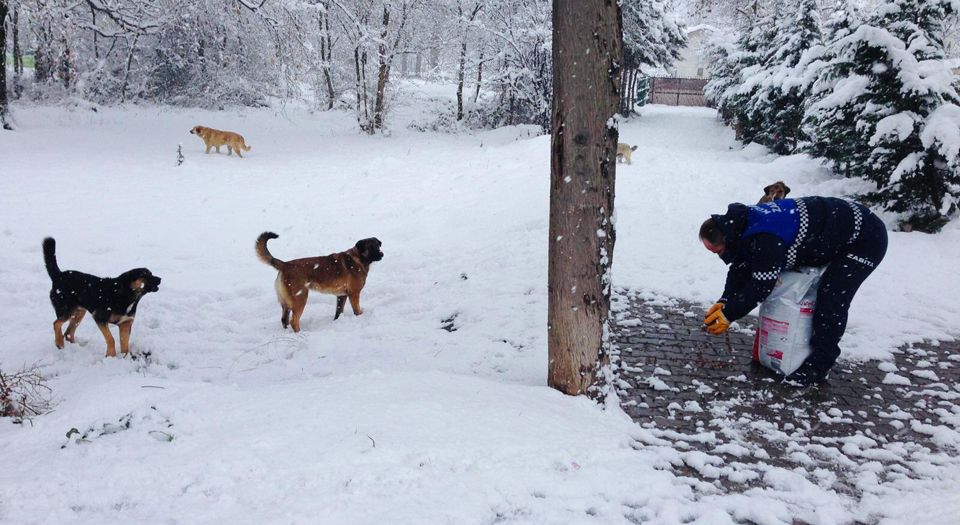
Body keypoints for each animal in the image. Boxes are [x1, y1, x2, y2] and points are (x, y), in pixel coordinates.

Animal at [258, 230, 386, 332]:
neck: (358, 258)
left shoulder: (342, 295)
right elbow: (357, 310)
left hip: (286, 303)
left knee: (284, 320)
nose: (382, 254)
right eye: (370, 248)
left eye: (378, 246)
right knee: (293, 321)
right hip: (300, 298)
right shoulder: (354, 294)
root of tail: (285, 265)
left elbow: (338, 312)